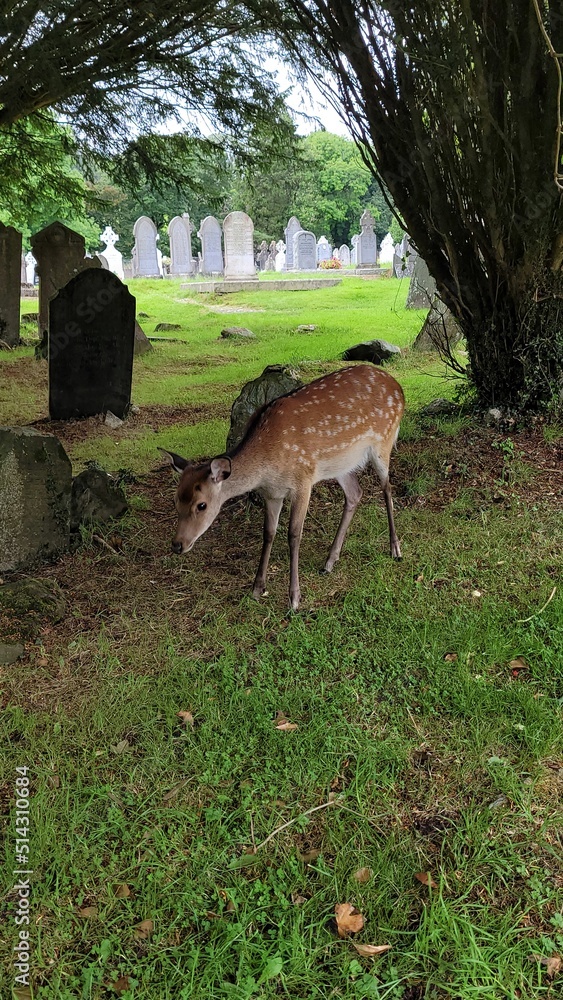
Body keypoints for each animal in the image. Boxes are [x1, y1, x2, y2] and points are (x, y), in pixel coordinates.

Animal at [161, 365, 404, 610]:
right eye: (175, 500)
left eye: (201, 505)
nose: (177, 545)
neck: (267, 464)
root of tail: (397, 387)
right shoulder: (272, 494)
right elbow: (268, 533)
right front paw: (257, 589)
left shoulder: (303, 480)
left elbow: (293, 534)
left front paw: (294, 598)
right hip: (341, 464)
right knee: (355, 493)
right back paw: (329, 561)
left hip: (383, 442)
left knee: (387, 488)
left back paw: (395, 549)